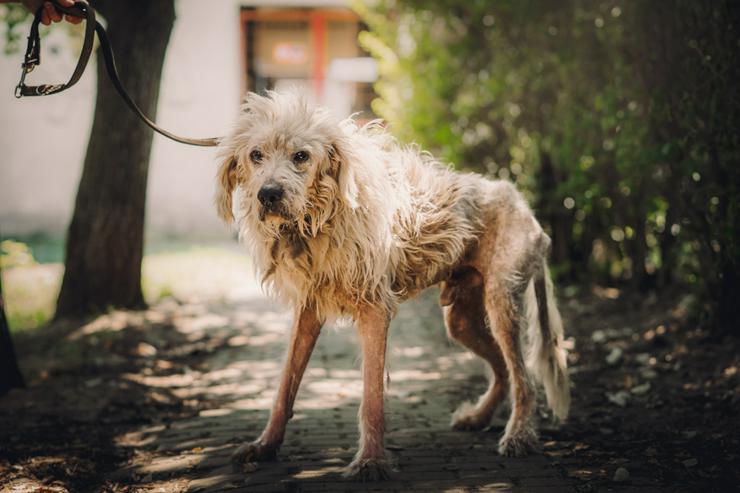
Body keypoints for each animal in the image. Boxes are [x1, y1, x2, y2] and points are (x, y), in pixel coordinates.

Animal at [214, 90, 572, 478]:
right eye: (256, 155)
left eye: (301, 156)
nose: (268, 194)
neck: (322, 216)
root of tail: (524, 207)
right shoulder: (306, 312)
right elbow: (284, 389)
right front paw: (265, 446)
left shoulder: (374, 311)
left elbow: (371, 397)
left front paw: (371, 460)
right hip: (462, 320)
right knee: (505, 371)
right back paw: (478, 417)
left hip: (502, 306)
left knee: (524, 381)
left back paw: (518, 435)